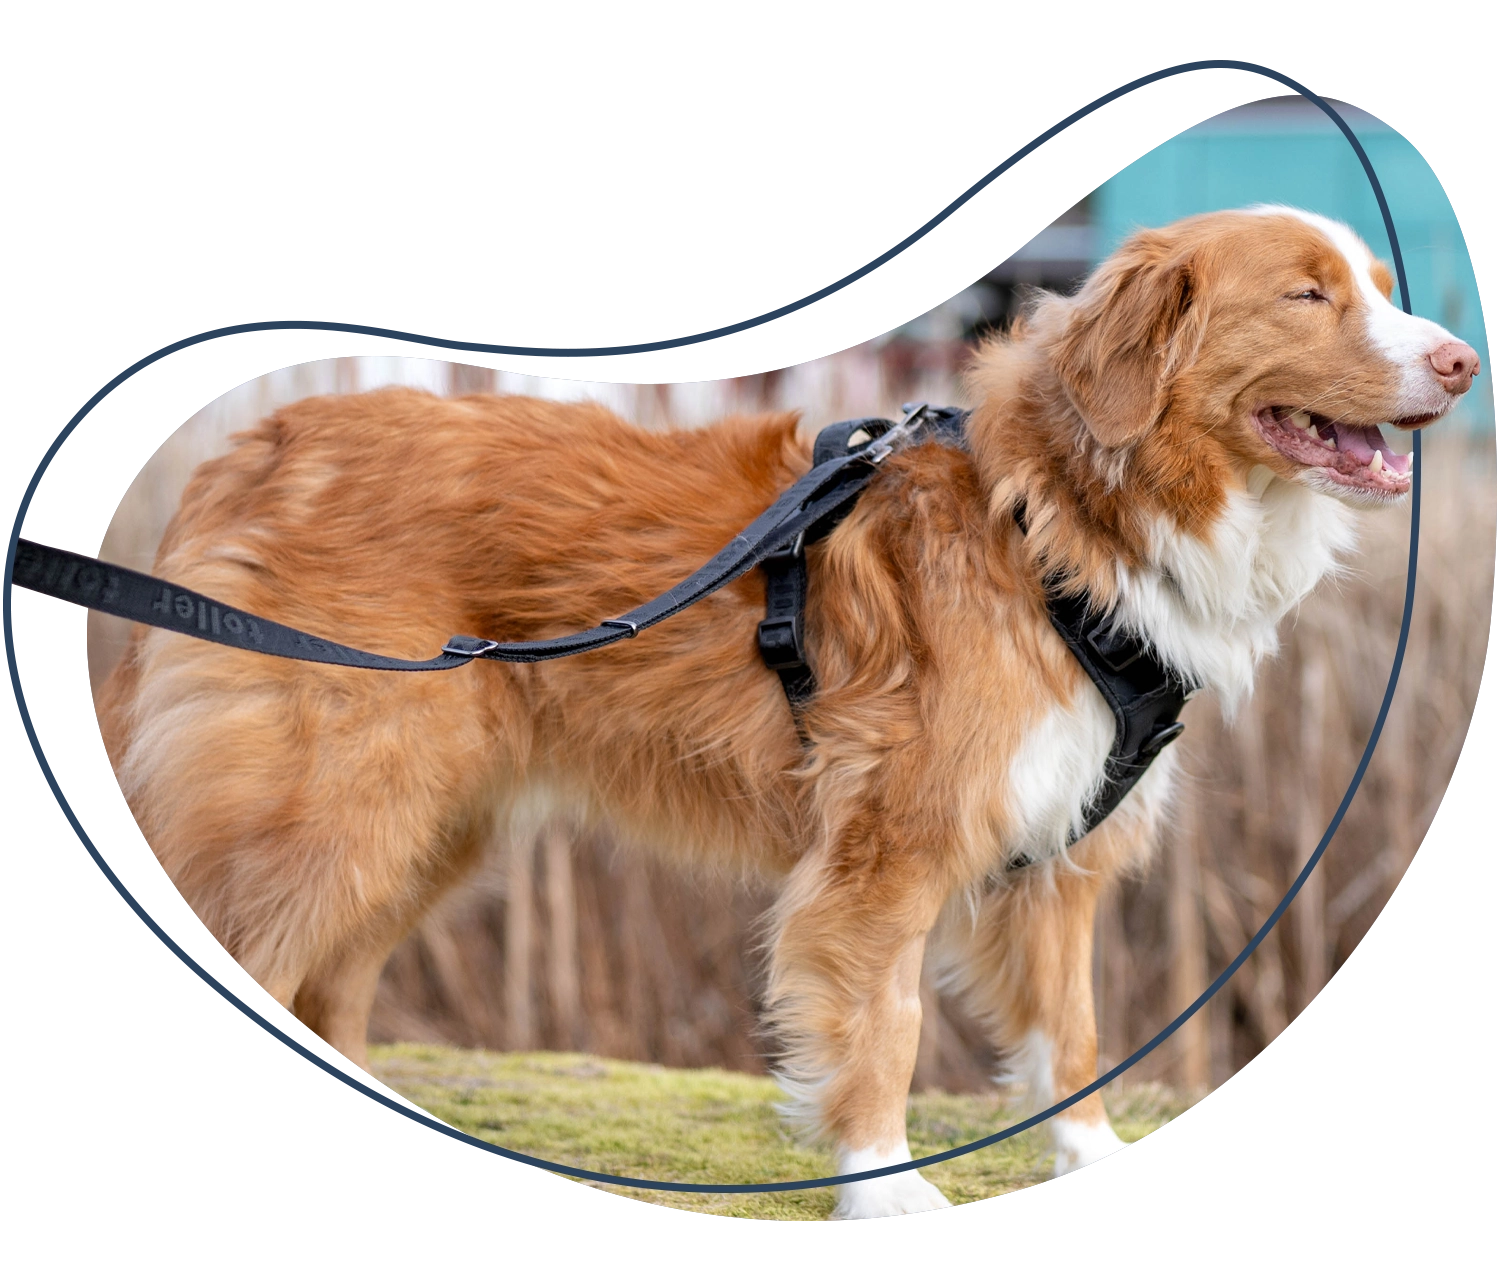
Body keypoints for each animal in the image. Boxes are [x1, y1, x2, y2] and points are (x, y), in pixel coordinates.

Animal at [93, 206, 1476, 1217]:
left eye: (1376, 283)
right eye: (1309, 296)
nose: (1465, 360)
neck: (1059, 518)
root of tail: (245, 450)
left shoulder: (1061, 856)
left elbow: (1075, 1038)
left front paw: (1083, 1153)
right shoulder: (887, 856)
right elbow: (886, 1028)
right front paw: (882, 1185)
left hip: (421, 833)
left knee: (331, 986)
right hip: (331, 819)